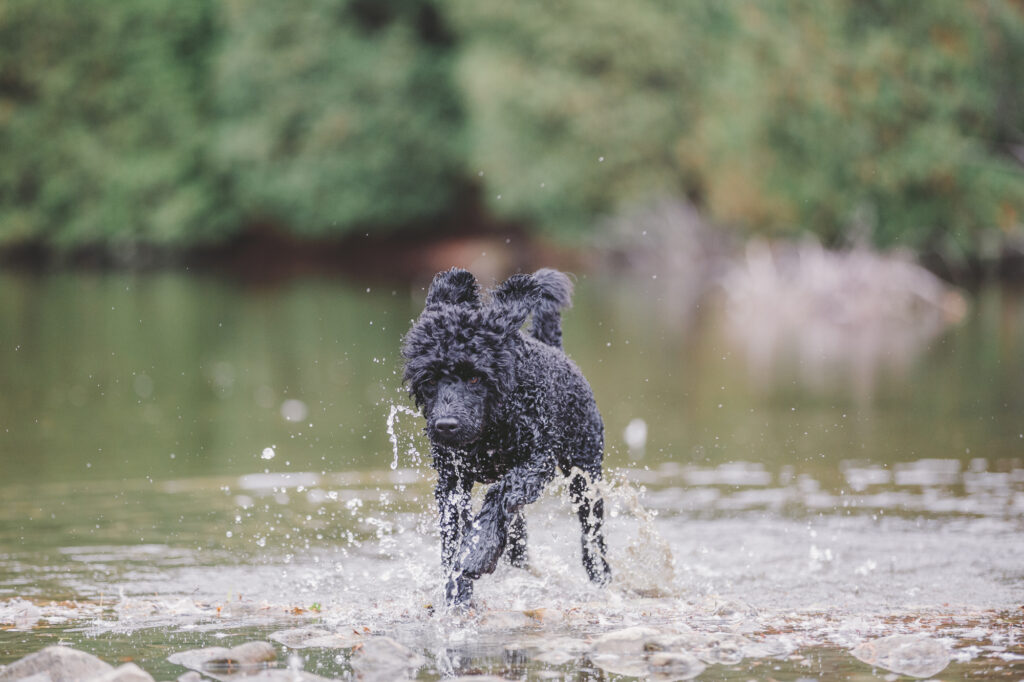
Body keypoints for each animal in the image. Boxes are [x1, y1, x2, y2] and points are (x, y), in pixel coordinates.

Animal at [399, 268, 606, 602]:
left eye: (475, 377)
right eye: (429, 379)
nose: (445, 426)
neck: (491, 430)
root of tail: (555, 349)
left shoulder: (536, 463)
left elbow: (500, 495)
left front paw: (479, 552)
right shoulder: (452, 481)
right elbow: (453, 537)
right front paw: (457, 592)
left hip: (585, 475)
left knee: (592, 535)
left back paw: (601, 576)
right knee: (518, 532)